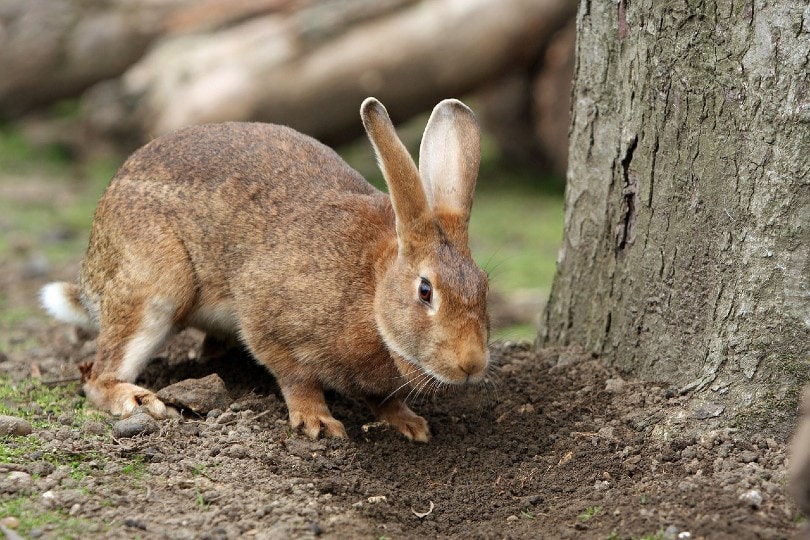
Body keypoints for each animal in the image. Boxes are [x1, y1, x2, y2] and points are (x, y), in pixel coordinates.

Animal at [40, 97, 490, 442]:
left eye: (484, 287)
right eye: (425, 290)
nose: (472, 364)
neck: (373, 288)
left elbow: (385, 399)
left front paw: (411, 425)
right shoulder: (267, 318)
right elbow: (296, 377)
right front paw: (318, 422)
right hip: (154, 286)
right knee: (98, 375)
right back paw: (137, 399)